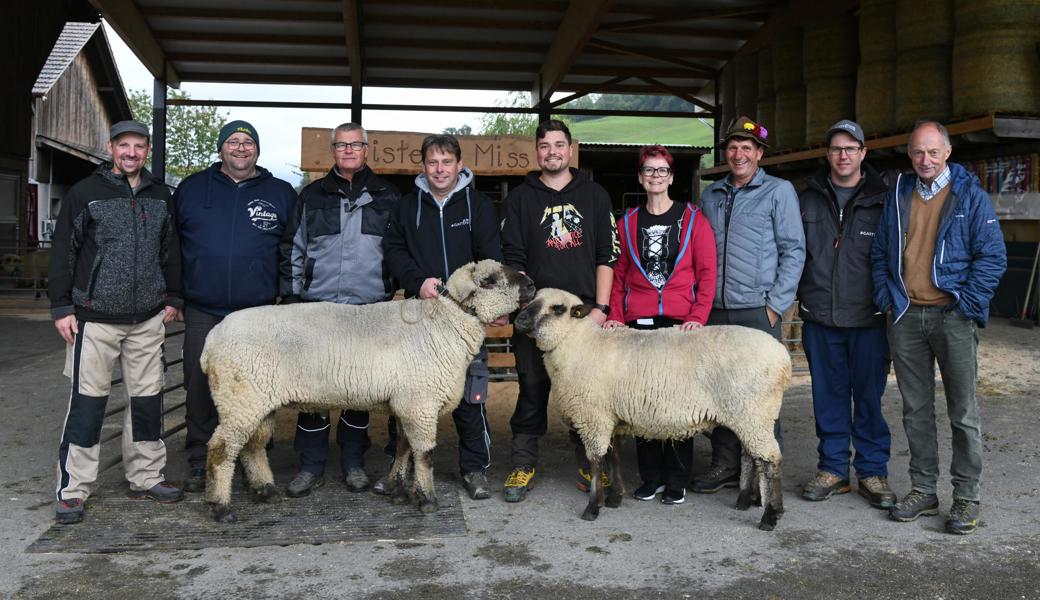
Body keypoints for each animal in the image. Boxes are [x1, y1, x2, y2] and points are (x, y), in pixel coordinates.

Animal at [198, 259, 536, 522]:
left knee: (252, 446)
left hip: (257, 401)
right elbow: (424, 455)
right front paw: (427, 499)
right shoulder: (420, 403)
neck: (442, 324)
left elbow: (403, 448)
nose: (531, 284)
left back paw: (265, 491)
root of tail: (211, 342)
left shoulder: (407, 404)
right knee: (221, 449)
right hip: (240, 397)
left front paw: (397, 488)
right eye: (489, 281)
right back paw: (220, 507)